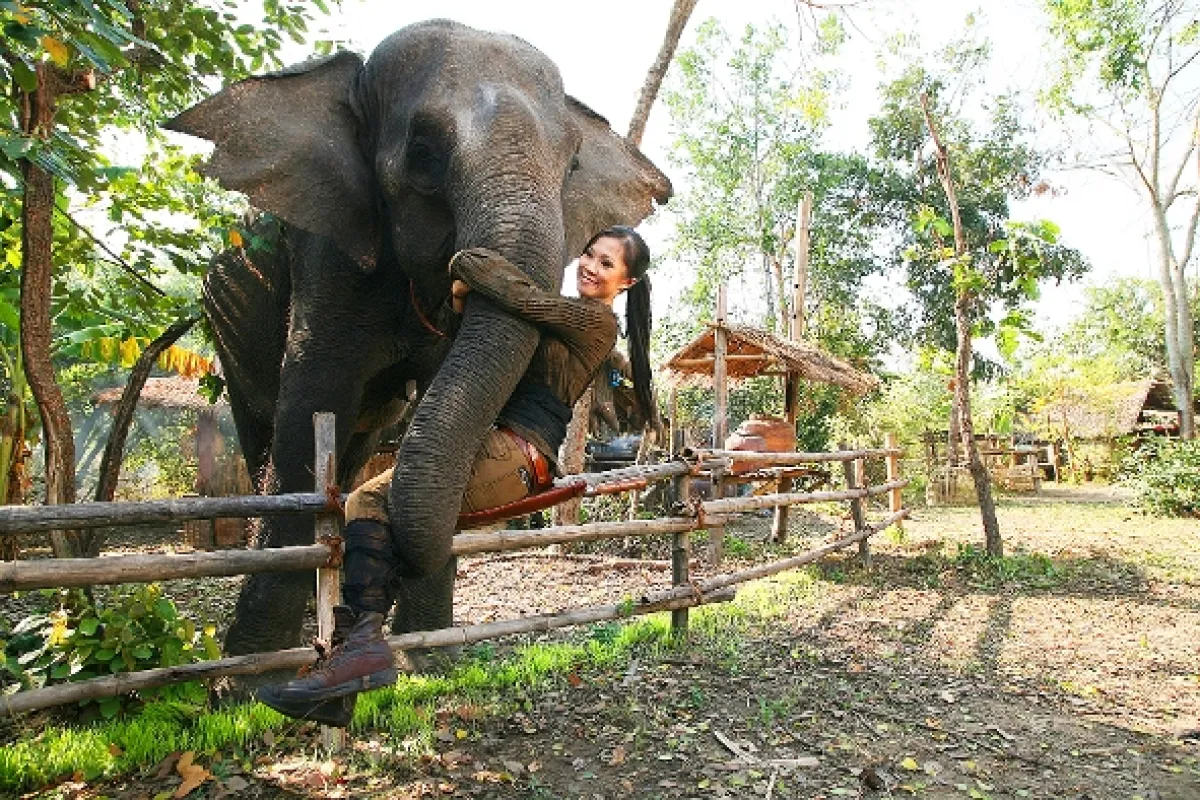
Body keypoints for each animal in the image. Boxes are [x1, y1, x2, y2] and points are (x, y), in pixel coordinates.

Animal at [167, 19, 671, 659]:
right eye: (424, 154)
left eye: (571, 164)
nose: (466, 266)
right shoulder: (328, 253)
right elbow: (312, 400)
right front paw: (250, 667)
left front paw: (433, 655)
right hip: (228, 321)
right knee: (268, 433)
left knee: (358, 447)